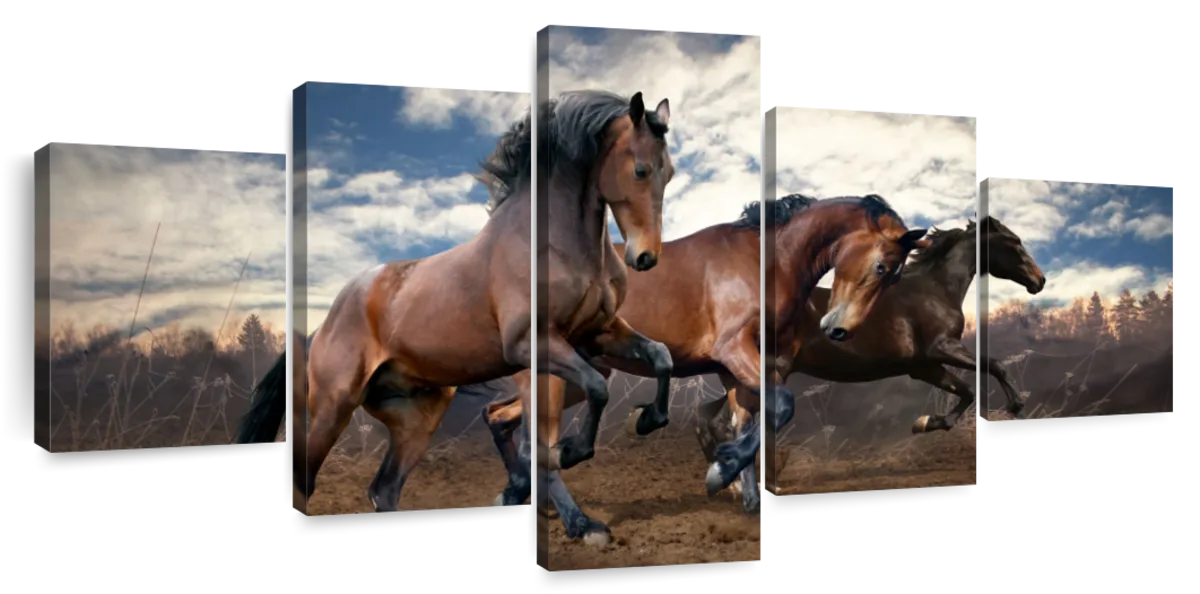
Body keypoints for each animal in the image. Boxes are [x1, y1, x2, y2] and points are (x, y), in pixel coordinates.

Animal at [485, 194, 930, 538]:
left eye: (892, 278)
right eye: (881, 267)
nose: (838, 329)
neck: (762, 262)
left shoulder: (735, 368)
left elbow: (747, 421)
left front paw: (743, 491)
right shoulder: (734, 349)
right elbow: (781, 406)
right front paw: (721, 471)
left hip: (578, 379)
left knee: (499, 417)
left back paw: (521, 495)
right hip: (553, 381)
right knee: (532, 442)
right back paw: (580, 524)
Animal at [694, 216, 1043, 492]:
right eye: (1013, 241)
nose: (1039, 281)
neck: (935, 290)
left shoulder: (925, 366)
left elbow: (967, 391)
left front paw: (925, 423)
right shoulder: (942, 348)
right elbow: (994, 366)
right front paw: (1016, 405)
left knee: (709, 418)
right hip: (772, 370)